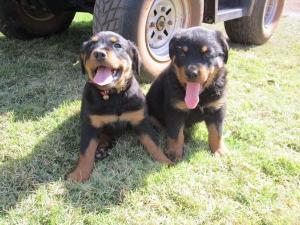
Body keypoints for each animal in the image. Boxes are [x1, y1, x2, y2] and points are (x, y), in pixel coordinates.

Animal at [68, 31, 171, 182]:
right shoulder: (90, 124)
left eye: (117, 45)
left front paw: (165, 161)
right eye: (91, 45)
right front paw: (79, 175)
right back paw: (101, 149)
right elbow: (86, 151)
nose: (99, 54)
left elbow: (152, 143)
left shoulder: (141, 120)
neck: (113, 95)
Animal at [146, 26, 229, 162]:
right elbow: (176, 134)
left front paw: (219, 150)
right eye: (182, 54)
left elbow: (217, 132)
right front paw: (174, 152)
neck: (200, 96)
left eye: (207, 54)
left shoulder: (217, 108)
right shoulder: (175, 110)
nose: (191, 73)